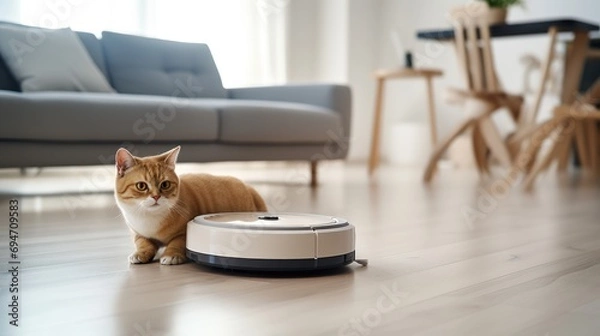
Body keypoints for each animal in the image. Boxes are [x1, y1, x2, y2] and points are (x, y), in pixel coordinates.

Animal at [116, 146, 266, 266]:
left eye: (165, 184)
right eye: (141, 186)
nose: (156, 196)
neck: (149, 218)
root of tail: (249, 188)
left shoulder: (183, 232)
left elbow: (177, 243)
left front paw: (171, 255)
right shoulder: (137, 233)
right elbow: (143, 243)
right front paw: (140, 253)